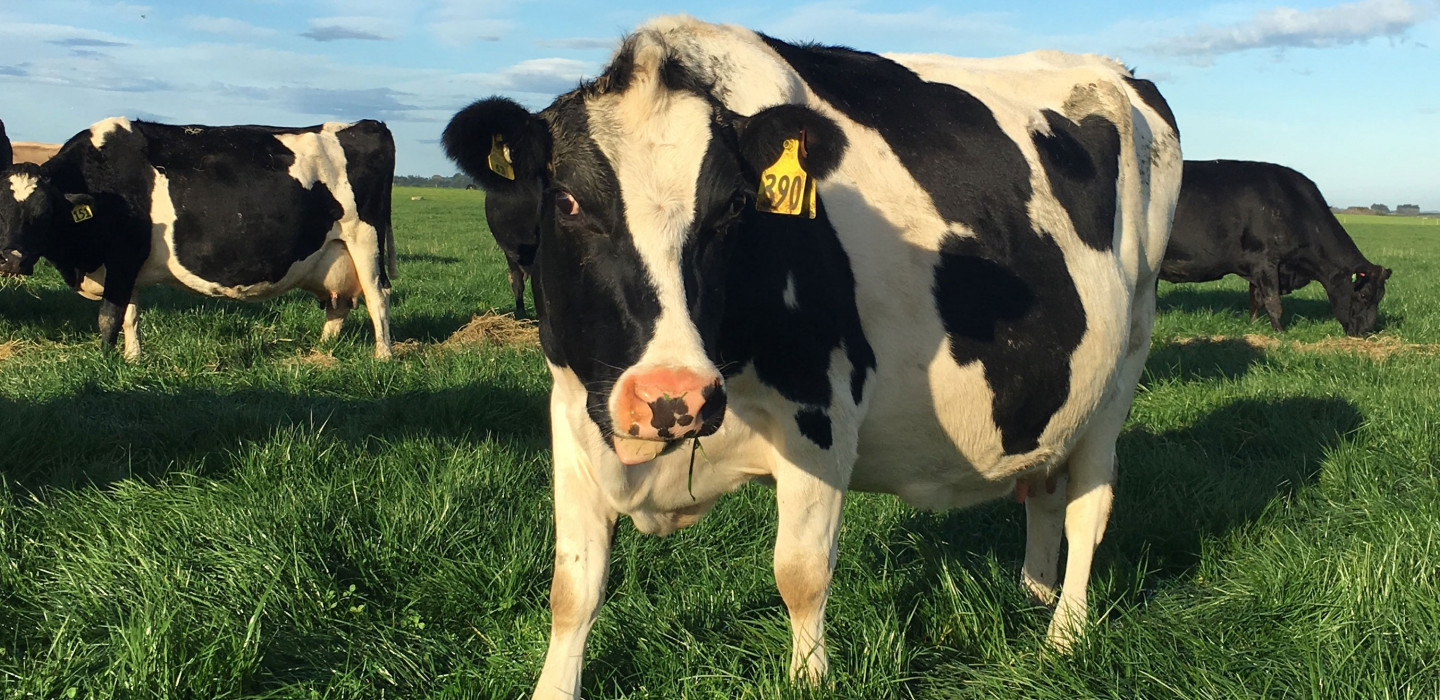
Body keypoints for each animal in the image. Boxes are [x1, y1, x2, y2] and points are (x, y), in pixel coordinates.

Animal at [0, 116, 397, 358]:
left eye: (44, 213)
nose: (11, 260)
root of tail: (367, 124)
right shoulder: (127, 267)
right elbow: (130, 315)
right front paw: (132, 359)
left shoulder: (123, 257)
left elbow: (109, 317)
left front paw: (104, 361)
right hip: (334, 253)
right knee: (339, 304)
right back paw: (321, 351)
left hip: (365, 239)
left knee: (377, 297)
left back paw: (383, 355)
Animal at [440, 16, 1180, 700]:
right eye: (567, 202)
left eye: (734, 208)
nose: (673, 397)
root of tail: (1121, 74)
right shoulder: (573, 409)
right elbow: (574, 585)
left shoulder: (820, 409)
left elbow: (800, 572)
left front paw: (809, 678)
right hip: (1057, 393)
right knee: (1045, 489)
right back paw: (1034, 592)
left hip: (1125, 365)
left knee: (1089, 505)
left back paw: (1065, 633)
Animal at [1157, 159, 1382, 335]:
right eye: (1364, 295)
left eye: (1380, 297)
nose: (1366, 331)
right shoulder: (1266, 260)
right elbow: (1274, 302)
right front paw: (1280, 334)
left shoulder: (1257, 268)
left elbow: (1256, 299)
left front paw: (1253, 326)